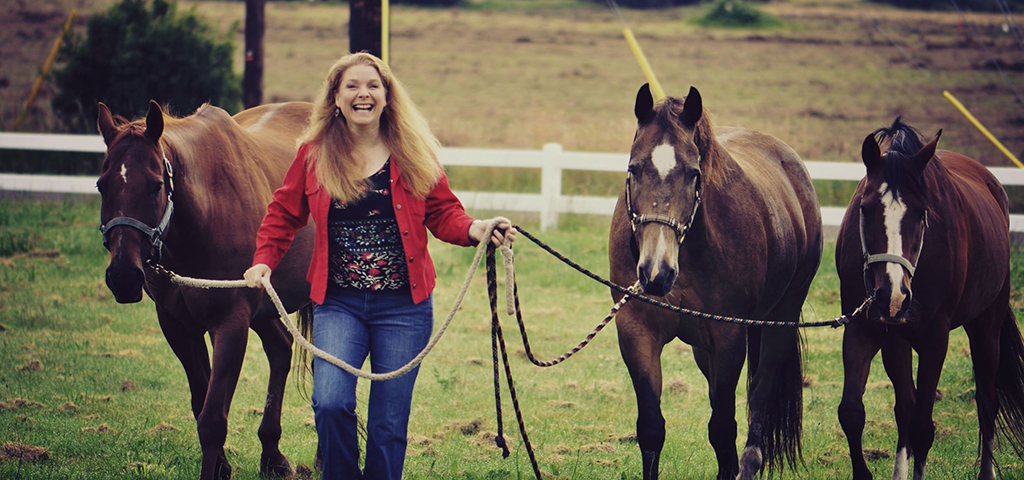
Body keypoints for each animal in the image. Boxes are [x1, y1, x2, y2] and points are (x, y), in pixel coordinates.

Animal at [96, 99, 313, 476]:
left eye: (156, 185)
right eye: (101, 186)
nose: (123, 275)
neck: (208, 211)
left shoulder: (231, 323)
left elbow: (212, 419)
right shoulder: (178, 325)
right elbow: (201, 402)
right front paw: (222, 467)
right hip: (264, 310)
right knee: (280, 351)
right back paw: (272, 454)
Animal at [606, 83, 823, 478]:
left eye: (693, 173)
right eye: (634, 168)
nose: (656, 272)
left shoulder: (728, 336)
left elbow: (723, 428)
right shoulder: (637, 333)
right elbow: (651, 429)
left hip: (780, 318)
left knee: (760, 394)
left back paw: (750, 462)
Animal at [835, 117, 1024, 478]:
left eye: (922, 213)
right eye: (865, 209)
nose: (893, 295)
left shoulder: (935, 338)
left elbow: (923, 428)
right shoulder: (861, 329)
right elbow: (852, 412)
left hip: (986, 327)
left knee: (987, 402)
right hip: (896, 339)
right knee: (904, 408)